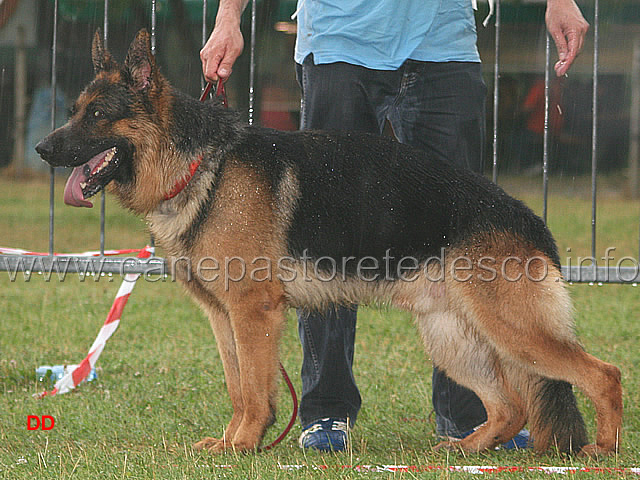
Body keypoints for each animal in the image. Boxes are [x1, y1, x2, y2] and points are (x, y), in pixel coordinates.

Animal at [35, 31, 620, 458]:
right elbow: (237, 386)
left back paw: (604, 450)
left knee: (603, 375)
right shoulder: (223, 316)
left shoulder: (253, 312)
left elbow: (254, 390)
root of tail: (530, 219)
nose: (42, 149)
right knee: (510, 407)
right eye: (75, 109)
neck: (202, 163)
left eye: (96, 115)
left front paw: (244, 445)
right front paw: (229, 441)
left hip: (513, 330)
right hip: (452, 337)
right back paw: (467, 448)